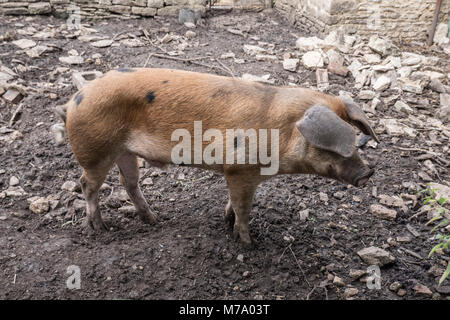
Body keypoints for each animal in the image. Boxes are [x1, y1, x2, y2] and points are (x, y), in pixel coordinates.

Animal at [56, 68, 380, 248]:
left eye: (356, 140)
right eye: (331, 147)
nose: (367, 173)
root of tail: (73, 100)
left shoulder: (243, 174)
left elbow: (235, 203)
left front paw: (227, 222)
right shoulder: (239, 169)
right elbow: (244, 208)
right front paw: (249, 245)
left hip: (124, 151)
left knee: (129, 182)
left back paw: (154, 220)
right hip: (95, 150)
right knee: (87, 184)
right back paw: (100, 229)